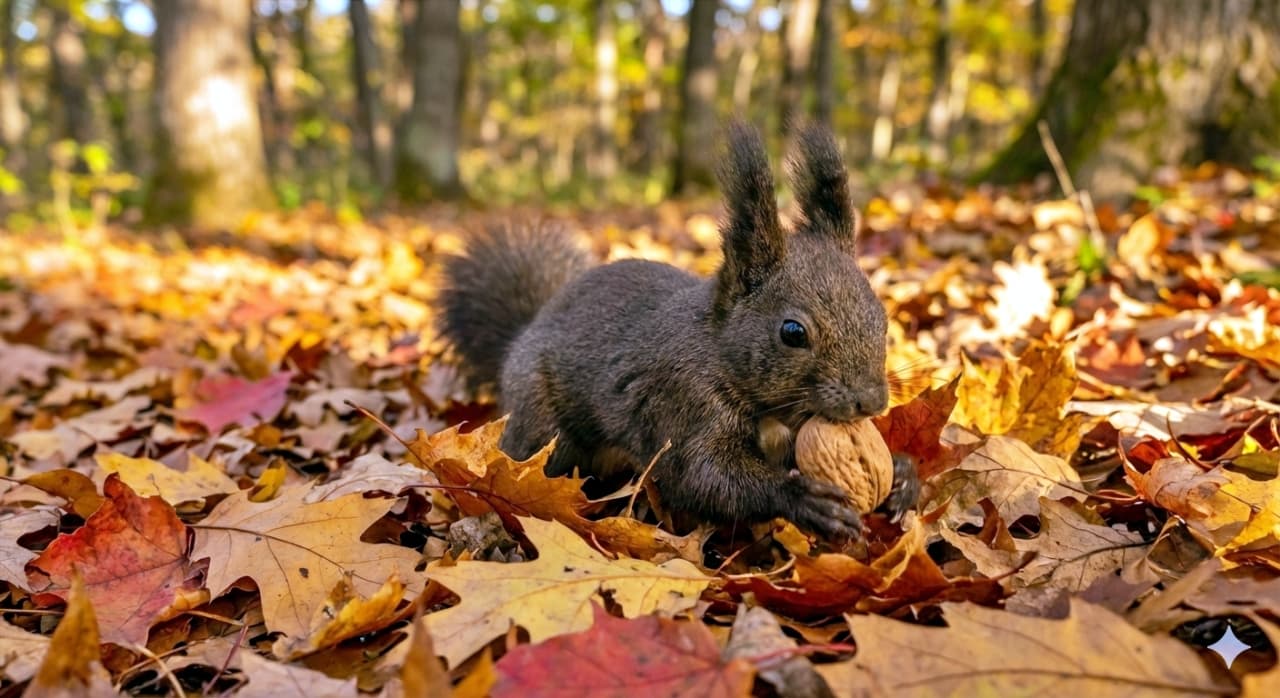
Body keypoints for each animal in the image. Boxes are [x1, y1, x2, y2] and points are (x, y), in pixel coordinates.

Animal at [437, 122, 918, 539]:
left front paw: (903, 477)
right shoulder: (682, 403)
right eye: (793, 333)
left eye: (883, 317)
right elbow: (701, 476)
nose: (872, 401)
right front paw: (802, 498)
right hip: (542, 424)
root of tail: (522, 335)